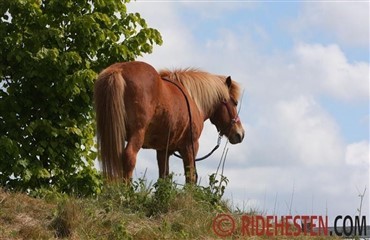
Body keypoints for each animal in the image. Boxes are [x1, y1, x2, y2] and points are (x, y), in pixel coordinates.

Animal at [94, 61, 244, 183]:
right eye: (235, 103)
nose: (240, 134)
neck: (193, 99)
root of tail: (118, 70)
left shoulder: (162, 150)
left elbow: (163, 177)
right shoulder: (190, 146)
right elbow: (190, 177)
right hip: (137, 134)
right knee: (129, 157)